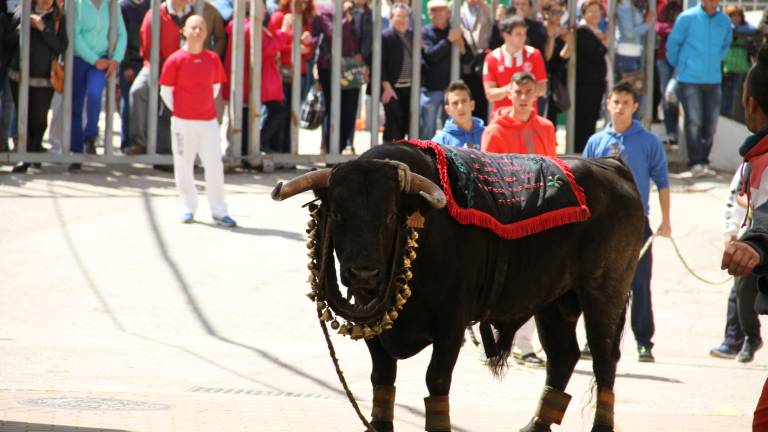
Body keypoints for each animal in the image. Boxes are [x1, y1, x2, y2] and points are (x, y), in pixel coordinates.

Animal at [272, 143, 644, 432]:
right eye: (337, 215)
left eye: (390, 216)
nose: (364, 274)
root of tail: (613, 167)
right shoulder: (376, 328)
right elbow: (383, 379)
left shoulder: (452, 324)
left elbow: (436, 380)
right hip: (554, 302)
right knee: (563, 356)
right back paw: (534, 425)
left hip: (603, 295)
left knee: (604, 360)